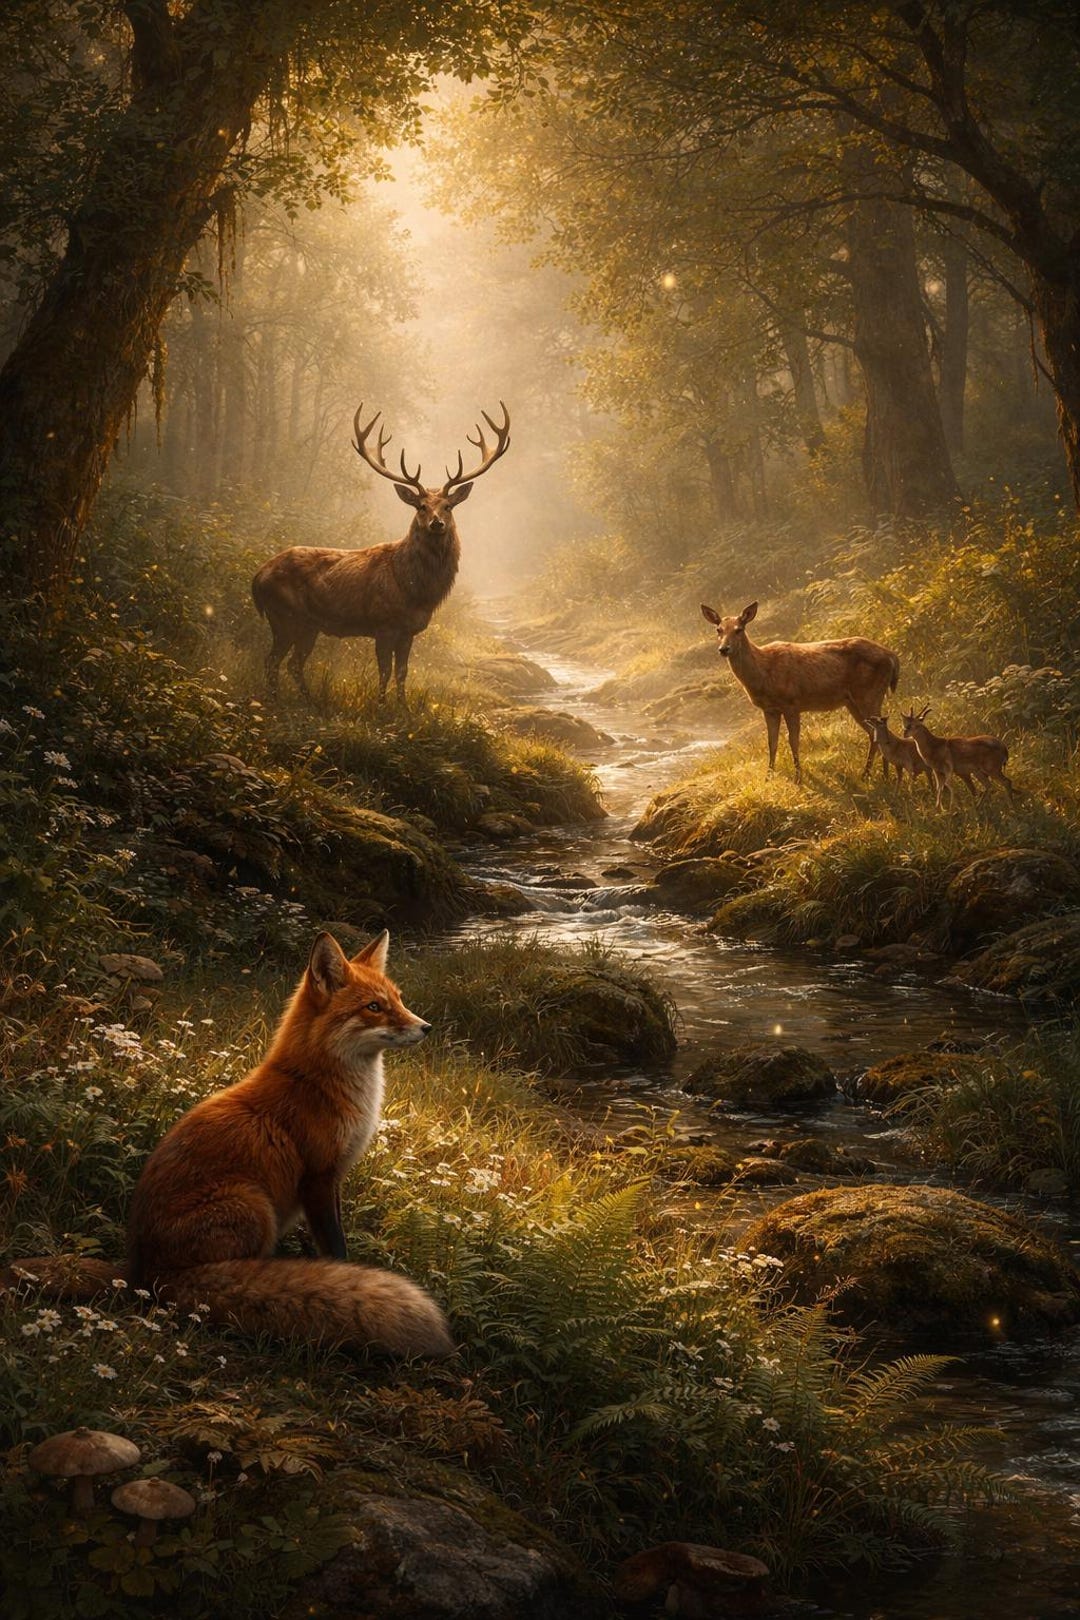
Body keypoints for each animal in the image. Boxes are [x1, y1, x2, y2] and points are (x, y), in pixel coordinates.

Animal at [123, 929, 454, 1356]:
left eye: (398, 999)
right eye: (374, 1007)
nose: (426, 1027)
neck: (319, 1084)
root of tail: (146, 1274)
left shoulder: (332, 1177)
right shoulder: (319, 1176)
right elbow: (335, 1246)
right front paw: (341, 1272)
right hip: (252, 1204)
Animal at [252, 402, 511, 704]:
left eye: (448, 506)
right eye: (421, 506)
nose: (436, 523)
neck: (415, 590)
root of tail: (257, 578)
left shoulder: (409, 630)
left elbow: (402, 672)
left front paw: (402, 707)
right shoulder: (383, 624)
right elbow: (385, 671)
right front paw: (381, 705)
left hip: (308, 625)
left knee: (292, 663)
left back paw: (309, 700)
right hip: (284, 615)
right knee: (272, 660)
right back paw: (276, 699)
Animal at [701, 602, 900, 783]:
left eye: (739, 629)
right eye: (718, 629)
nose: (723, 649)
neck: (764, 672)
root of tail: (892, 656)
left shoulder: (791, 703)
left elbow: (793, 740)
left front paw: (798, 776)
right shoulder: (770, 709)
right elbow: (772, 742)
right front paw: (768, 777)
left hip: (869, 694)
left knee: (879, 731)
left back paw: (872, 774)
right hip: (853, 702)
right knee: (874, 733)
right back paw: (877, 774)